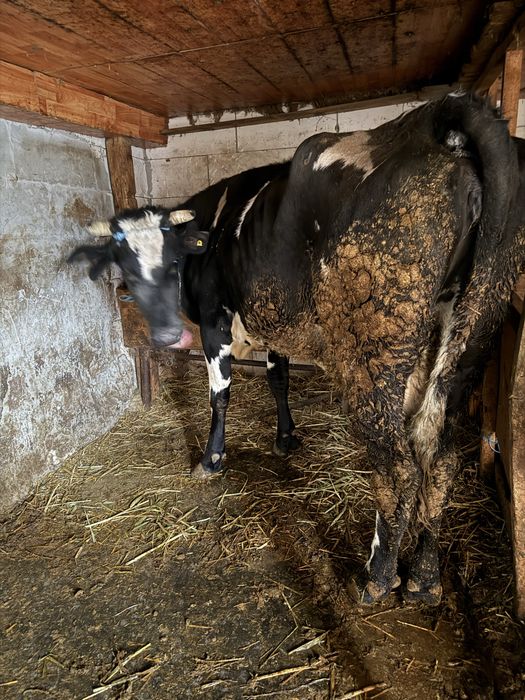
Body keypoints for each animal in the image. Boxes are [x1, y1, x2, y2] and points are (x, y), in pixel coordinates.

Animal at [69, 92, 525, 607]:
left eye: (171, 262)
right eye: (123, 262)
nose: (166, 335)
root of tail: (435, 116)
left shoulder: (213, 322)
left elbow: (220, 397)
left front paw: (212, 459)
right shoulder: (274, 325)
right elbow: (278, 378)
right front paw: (286, 437)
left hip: (374, 351)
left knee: (398, 467)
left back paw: (378, 576)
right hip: (468, 335)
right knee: (440, 456)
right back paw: (425, 578)